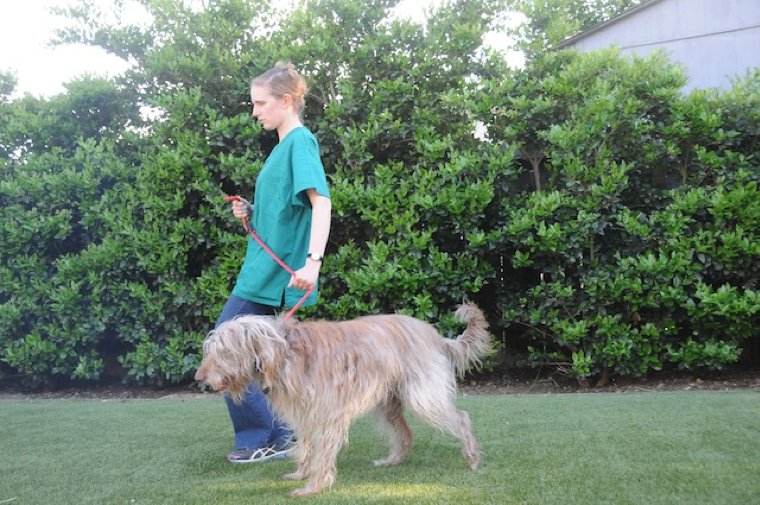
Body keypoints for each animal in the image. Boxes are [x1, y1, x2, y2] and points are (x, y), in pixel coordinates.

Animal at [196, 302, 492, 494]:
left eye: (224, 351)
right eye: (211, 350)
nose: (199, 377)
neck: (284, 352)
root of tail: (435, 335)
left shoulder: (327, 415)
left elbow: (322, 452)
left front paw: (313, 487)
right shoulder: (305, 416)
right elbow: (307, 448)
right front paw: (301, 474)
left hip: (423, 396)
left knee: (461, 418)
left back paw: (473, 457)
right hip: (387, 403)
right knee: (406, 434)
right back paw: (392, 461)